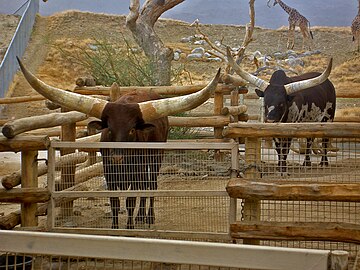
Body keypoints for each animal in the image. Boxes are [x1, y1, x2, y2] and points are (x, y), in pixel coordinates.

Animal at [17, 57, 222, 230]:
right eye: (109, 129)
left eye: (131, 130)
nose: (117, 157)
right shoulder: (110, 173)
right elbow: (114, 202)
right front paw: (115, 227)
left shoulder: (134, 171)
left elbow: (130, 201)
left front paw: (129, 227)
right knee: (144, 185)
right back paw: (141, 217)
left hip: (156, 156)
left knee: (151, 184)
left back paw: (148, 217)